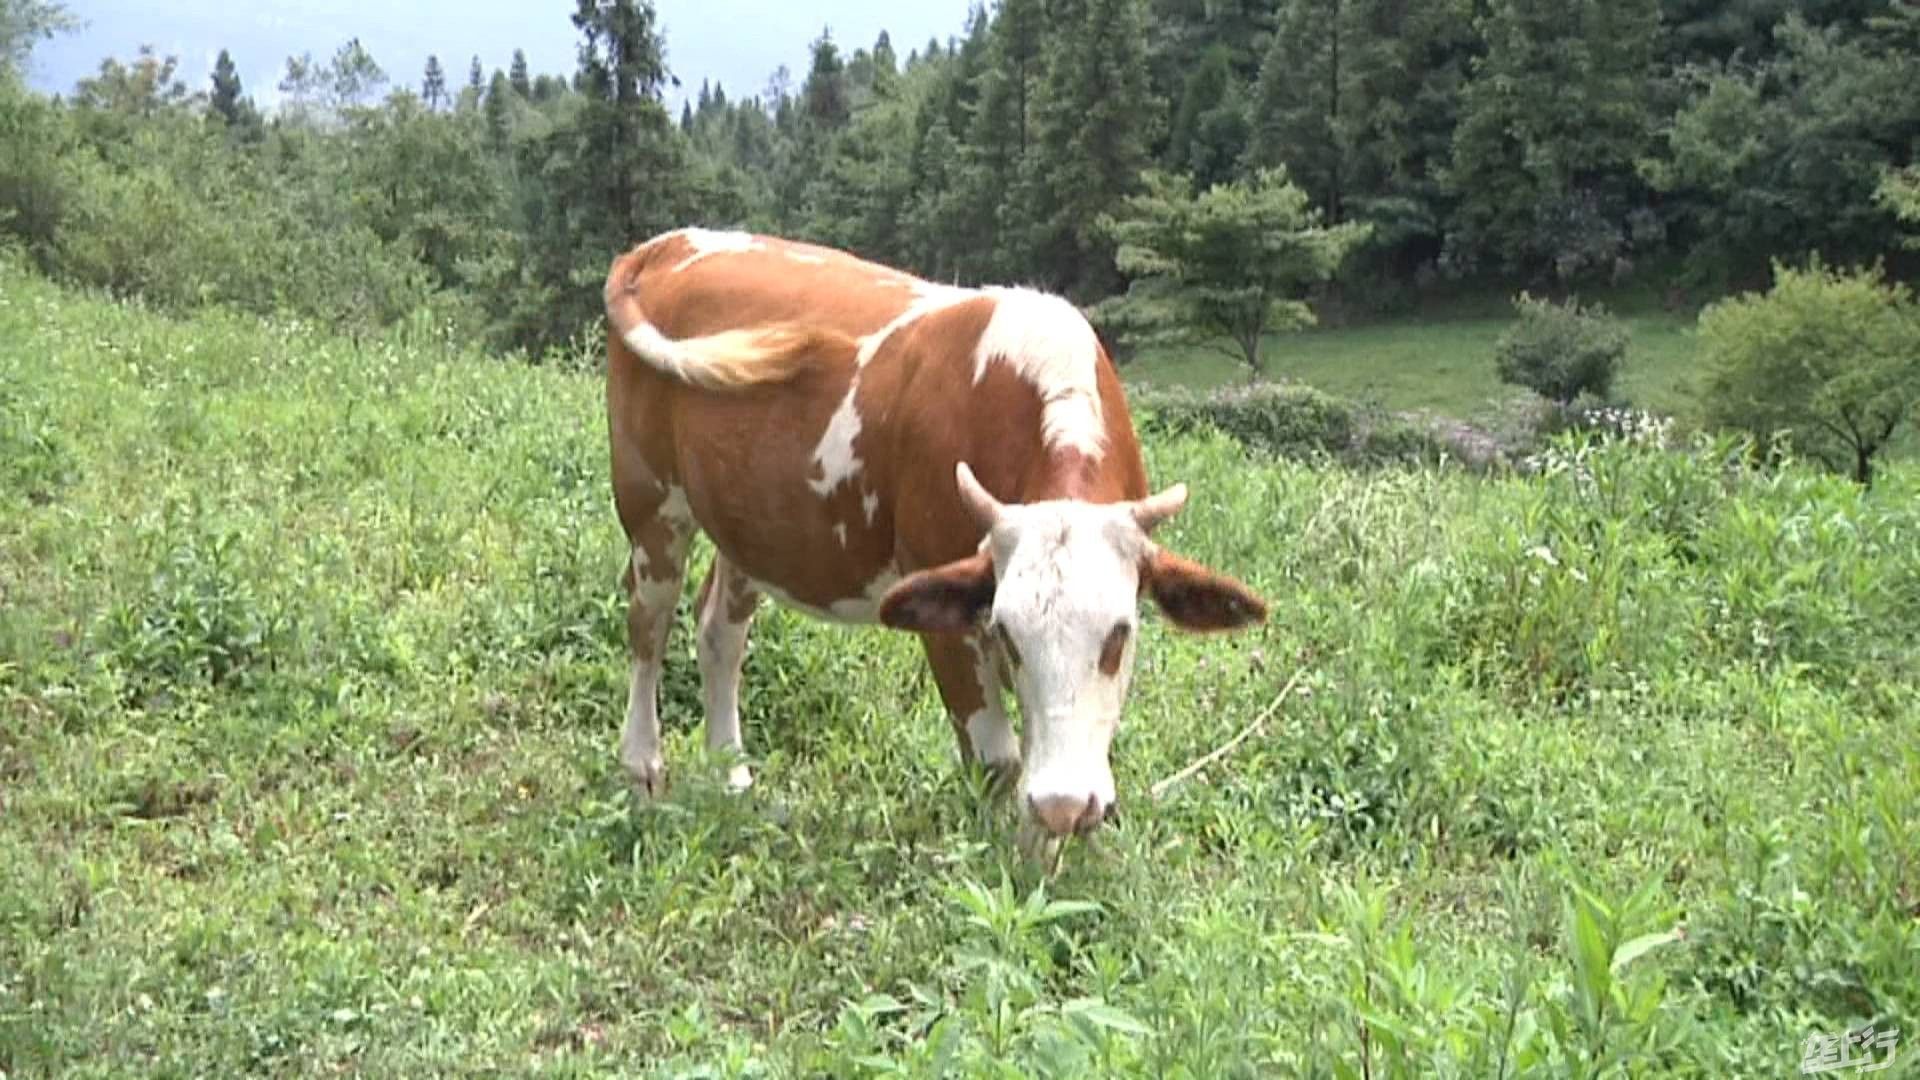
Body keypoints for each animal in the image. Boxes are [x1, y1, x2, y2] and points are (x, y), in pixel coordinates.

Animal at [591, 226, 1267, 849]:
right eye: (1007, 634)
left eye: (1120, 635)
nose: (1064, 804)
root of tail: (664, 244)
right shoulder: (946, 598)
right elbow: (997, 760)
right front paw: (1001, 871)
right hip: (649, 501)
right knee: (648, 628)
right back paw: (643, 770)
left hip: (748, 524)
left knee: (719, 635)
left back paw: (732, 781)